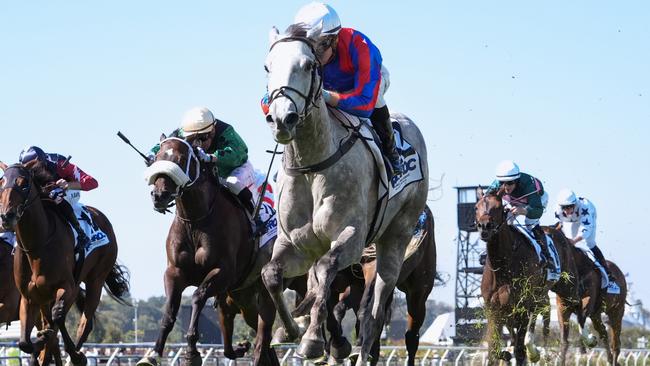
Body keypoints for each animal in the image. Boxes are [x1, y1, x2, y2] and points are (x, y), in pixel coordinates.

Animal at [0, 162, 130, 364]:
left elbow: (57, 318)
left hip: (95, 280)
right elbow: (25, 343)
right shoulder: (28, 298)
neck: (37, 244)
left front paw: (73, 354)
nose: (7, 216)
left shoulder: (66, 287)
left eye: (23, 183)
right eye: (1, 182)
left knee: (83, 323)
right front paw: (40, 342)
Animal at [135, 137, 278, 366]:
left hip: (262, 290)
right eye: (156, 158)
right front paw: (153, 355)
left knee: (265, 333)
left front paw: (192, 351)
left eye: (181, 159)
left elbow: (197, 296)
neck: (195, 220)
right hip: (243, 298)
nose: (159, 196)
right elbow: (168, 312)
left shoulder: (223, 272)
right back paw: (243, 348)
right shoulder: (174, 272)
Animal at [260, 25, 428, 366]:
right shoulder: (296, 245)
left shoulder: (351, 237)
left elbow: (327, 269)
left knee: (373, 314)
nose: (281, 118)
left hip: (396, 241)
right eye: (268, 67)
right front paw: (291, 329)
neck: (312, 164)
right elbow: (271, 274)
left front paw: (313, 340)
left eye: (308, 66)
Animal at [474, 189, 576, 366]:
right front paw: (505, 354)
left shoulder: (522, 307)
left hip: (559, 288)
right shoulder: (493, 310)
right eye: (476, 207)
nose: (484, 226)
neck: (503, 265)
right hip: (538, 295)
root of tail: (555, 230)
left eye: (498, 207)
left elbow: (519, 351)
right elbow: (494, 350)